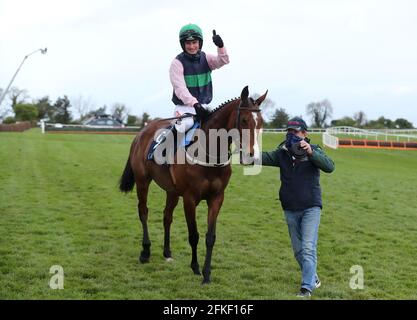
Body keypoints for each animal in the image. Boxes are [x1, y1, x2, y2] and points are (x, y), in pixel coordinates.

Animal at [118, 86, 266, 284]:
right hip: (143, 181)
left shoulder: (217, 198)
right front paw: (195, 267)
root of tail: (142, 132)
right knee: (143, 211)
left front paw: (207, 273)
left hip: (172, 191)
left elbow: (210, 237)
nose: (253, 156)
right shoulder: (189, 198)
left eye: (261, 122)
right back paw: (145, 251)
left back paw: (167, 253)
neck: (209, 154)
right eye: (244, 120)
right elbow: (194, 235)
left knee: (167, 216)